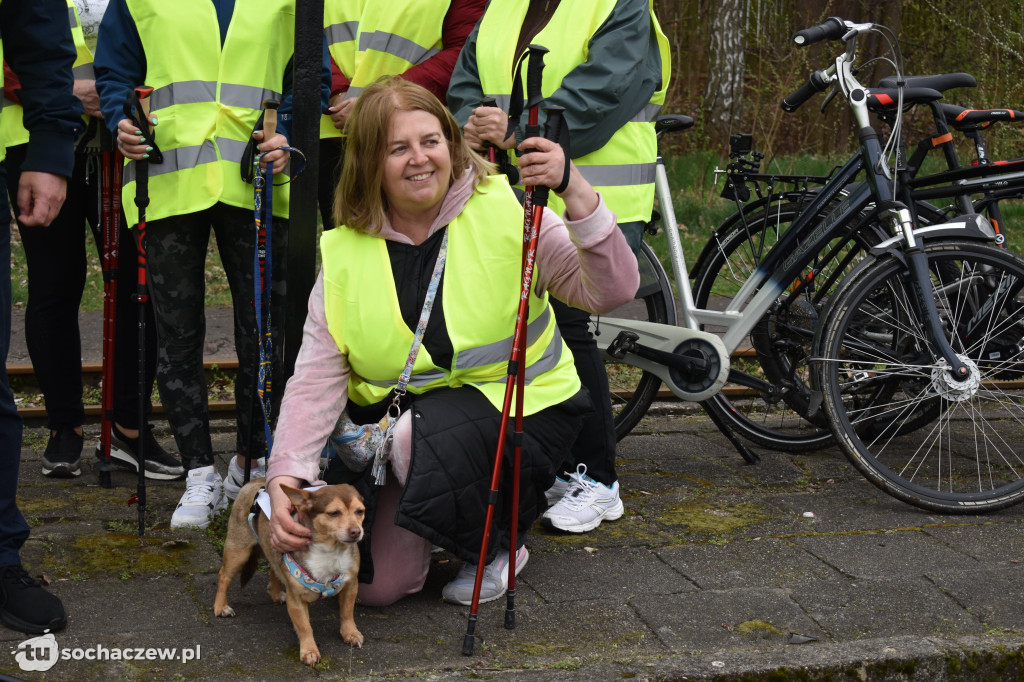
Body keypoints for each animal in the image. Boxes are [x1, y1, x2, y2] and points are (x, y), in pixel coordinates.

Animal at [214, 475, 366, 659]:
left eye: (360, 511)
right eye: (334, 513)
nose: (356, 531)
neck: (332, 551)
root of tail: (254, 482)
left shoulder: (351, 586)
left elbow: (347, 613)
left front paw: (350, 633)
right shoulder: (296, 600)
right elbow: (305, 626)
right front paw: (309, 650)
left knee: (274, 566)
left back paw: (276, 592)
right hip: (238, 551)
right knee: (223, 575)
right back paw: (220, 607)